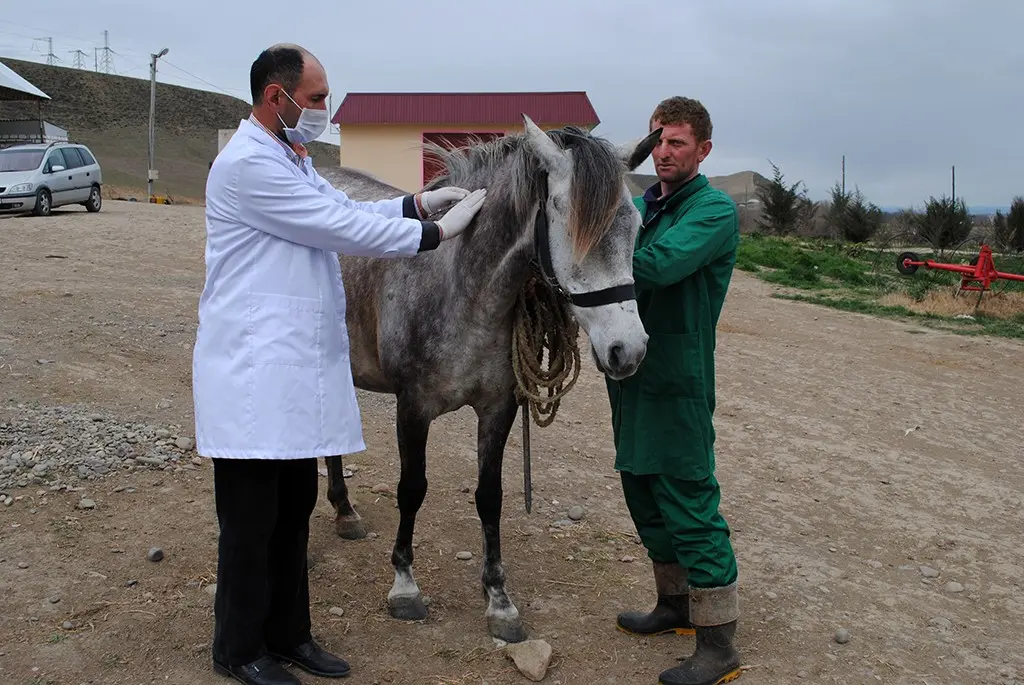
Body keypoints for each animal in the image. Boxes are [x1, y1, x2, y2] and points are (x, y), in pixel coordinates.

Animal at [315, 114, 659, 643]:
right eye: (567, 219)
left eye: (635, 224)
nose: (629, 349)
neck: (462, 287)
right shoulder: (412, 408)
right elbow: (411, 489)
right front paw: (405, 586)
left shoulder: (499, 408)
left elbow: (489, 498)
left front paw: (498, 598)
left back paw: (345, 512)